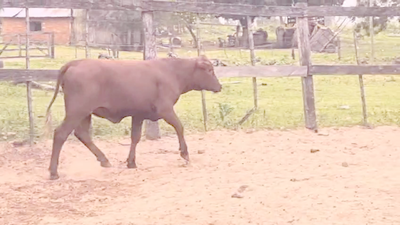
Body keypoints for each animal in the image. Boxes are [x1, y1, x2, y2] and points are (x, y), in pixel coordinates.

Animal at [45, 55, 223, 180]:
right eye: (209, 70)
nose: (219, 86)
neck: (172, 72)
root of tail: (75, 63)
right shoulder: (165, 109)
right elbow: (179, 127)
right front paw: (184, 154)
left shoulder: (138, 114)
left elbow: (135, 138)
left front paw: (131, 162)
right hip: (77, 111)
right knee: (61, 134)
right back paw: (53, 172)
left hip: (85, 114)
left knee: (82, 135)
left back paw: (104, 160)